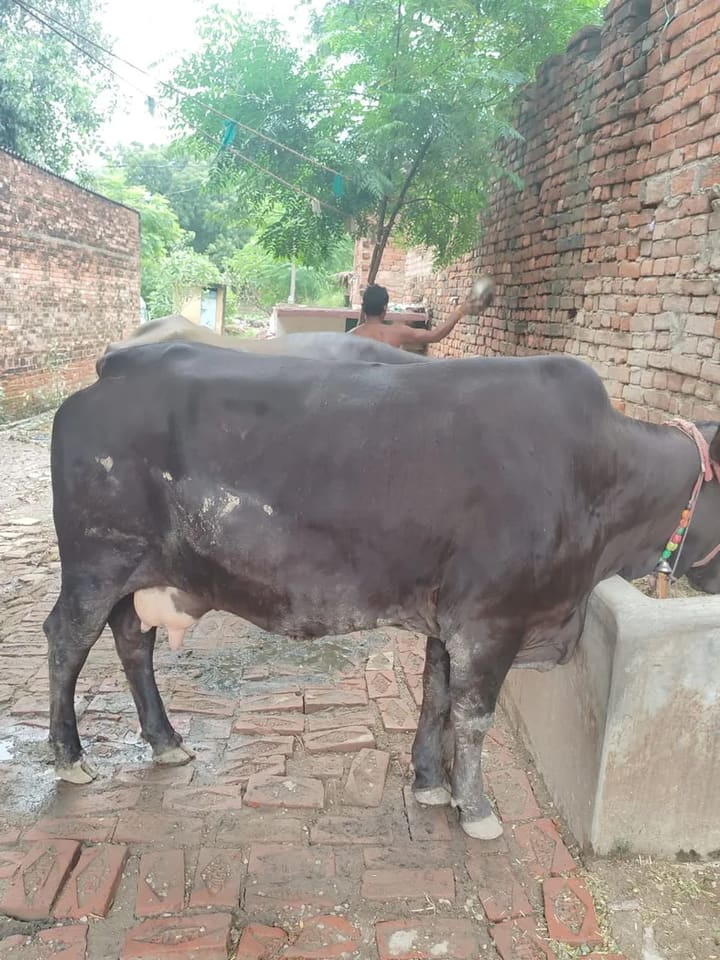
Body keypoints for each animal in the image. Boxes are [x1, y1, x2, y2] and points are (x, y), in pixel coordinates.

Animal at [45, 340, 720, 840]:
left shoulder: (451, 620)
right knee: (67, 641)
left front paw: (430, 782)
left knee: (133, 640)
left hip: (139, 573)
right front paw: (477, 810)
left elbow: (436, 697)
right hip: (97, 562)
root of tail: (114, 366)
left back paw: (166, 742)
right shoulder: (491, 621)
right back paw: (71, 757)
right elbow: (473, 715)